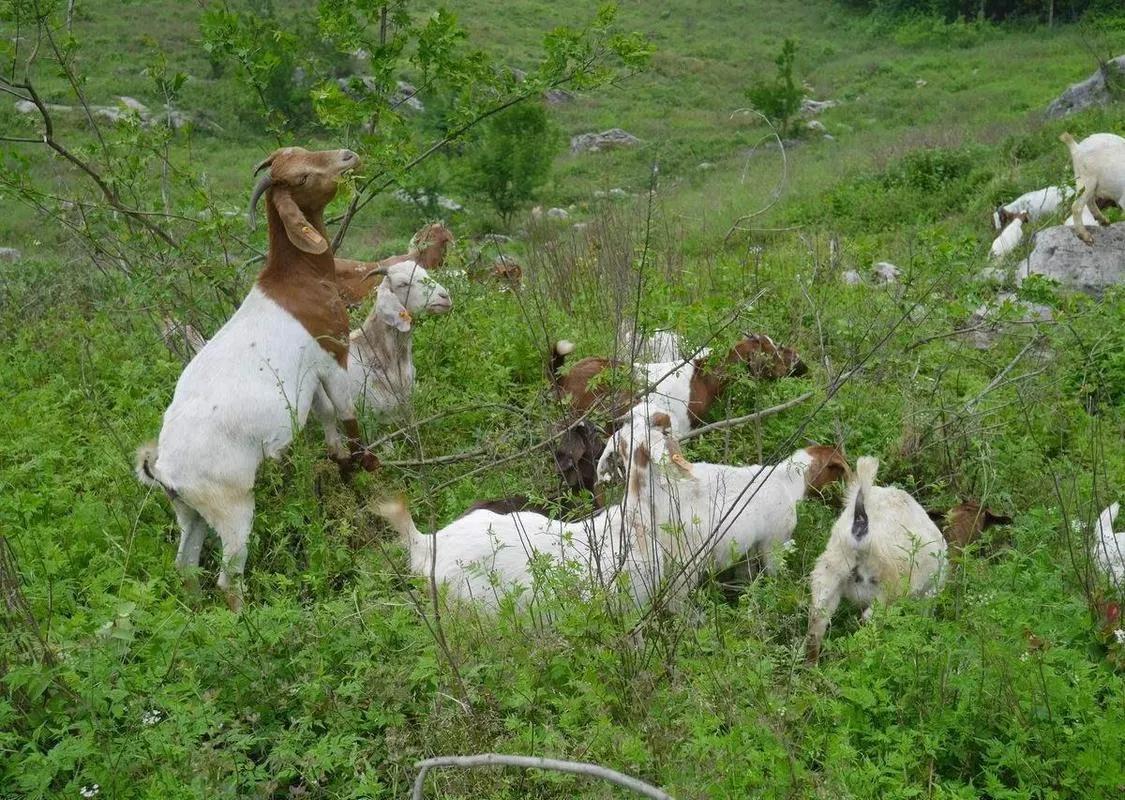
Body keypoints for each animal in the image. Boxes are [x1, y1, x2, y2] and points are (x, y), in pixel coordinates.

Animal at [135, 147, 373, 612]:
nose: (347, 155)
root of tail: (164, 470)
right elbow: (347, 412)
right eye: (301, 177)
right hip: (231, 506)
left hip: (190, 512)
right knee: (229, 578)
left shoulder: (309, 379)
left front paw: (342, 466)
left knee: (186, 565)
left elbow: (326, 418)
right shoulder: (332, 353)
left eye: (303, 151)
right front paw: (367, 467)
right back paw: (249, 620)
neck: (297, 282)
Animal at [805, 456, 945, 661]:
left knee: (817, 618)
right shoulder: (929, 593)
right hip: (889, 589)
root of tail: (861, 522)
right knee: (870, 619)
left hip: (829, 571)